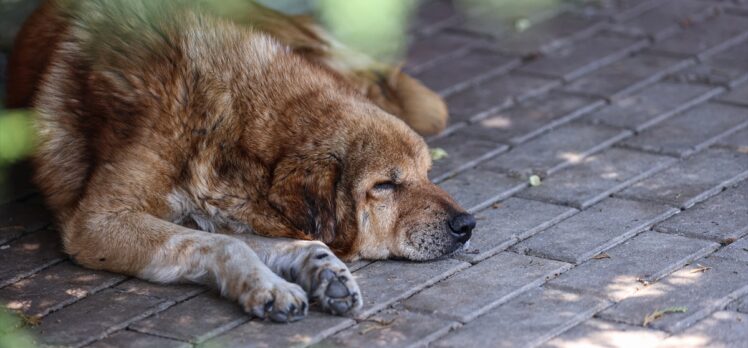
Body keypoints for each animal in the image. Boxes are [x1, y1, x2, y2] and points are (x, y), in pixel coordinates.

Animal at [5, 0, 476, 324]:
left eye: (426, 174)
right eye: (383, 186)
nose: (468, 225)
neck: (221, 124)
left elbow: (268, 239)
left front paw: (318, 266)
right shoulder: (98, 222)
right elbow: (227, 243)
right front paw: (273, 281)